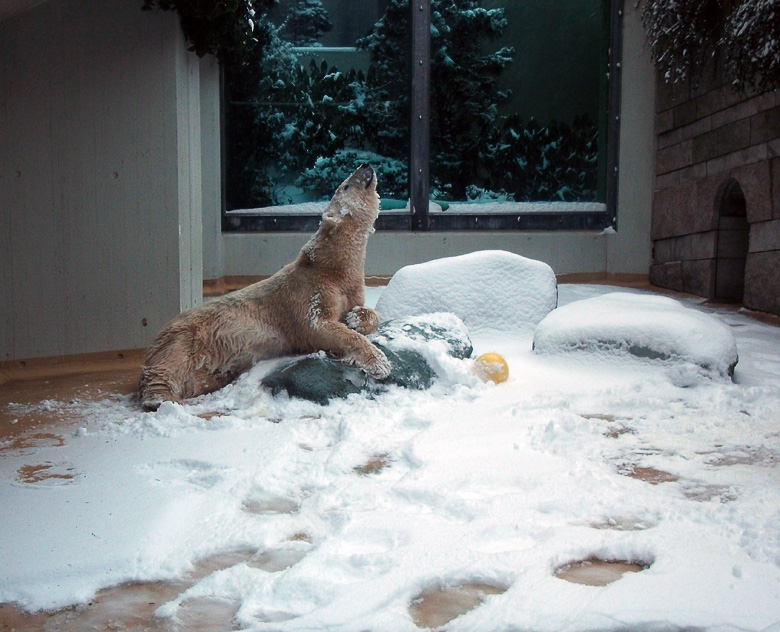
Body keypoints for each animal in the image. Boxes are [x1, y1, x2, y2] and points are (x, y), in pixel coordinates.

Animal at [139, 163, 390, 410]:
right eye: (346, 185)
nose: (365, 166)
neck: (330, 265)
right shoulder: (308, 288)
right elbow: (317, 325)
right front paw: (380, 363)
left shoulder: (348, 285)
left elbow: (362, 311)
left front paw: (357, 318)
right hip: (189, 335)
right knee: (173, 360)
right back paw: (161, 398)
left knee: (200, 377)